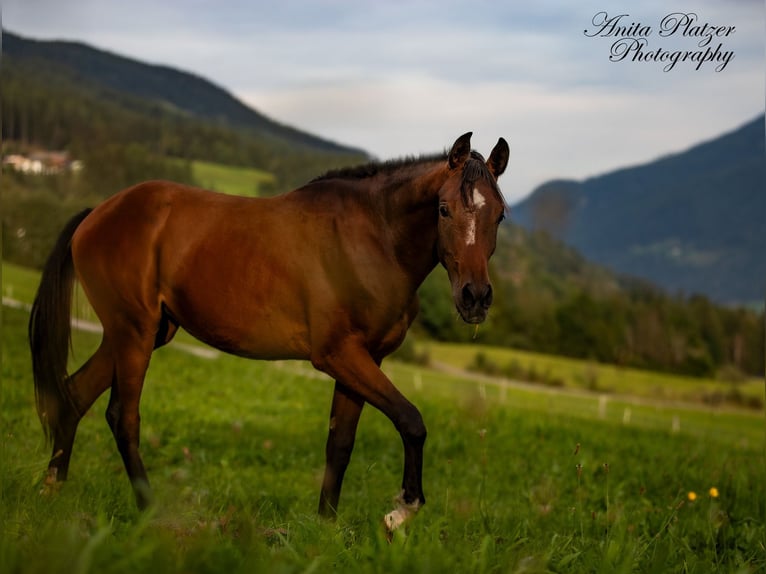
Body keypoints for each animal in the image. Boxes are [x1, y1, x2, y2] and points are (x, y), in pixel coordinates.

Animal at [28, 133, 510, 532]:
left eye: (500, 215)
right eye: (443, 209)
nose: (475, 297)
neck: (373, 238)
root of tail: (97, 214)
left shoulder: (362, 360)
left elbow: (340, 444)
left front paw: (325, 529)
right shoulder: (338, 356)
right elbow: (411, 420)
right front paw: (402, 509)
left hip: (138, 333)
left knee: (73, 396)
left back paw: (53, 492)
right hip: (134, 333)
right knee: (122, 417)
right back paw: (149, 512)